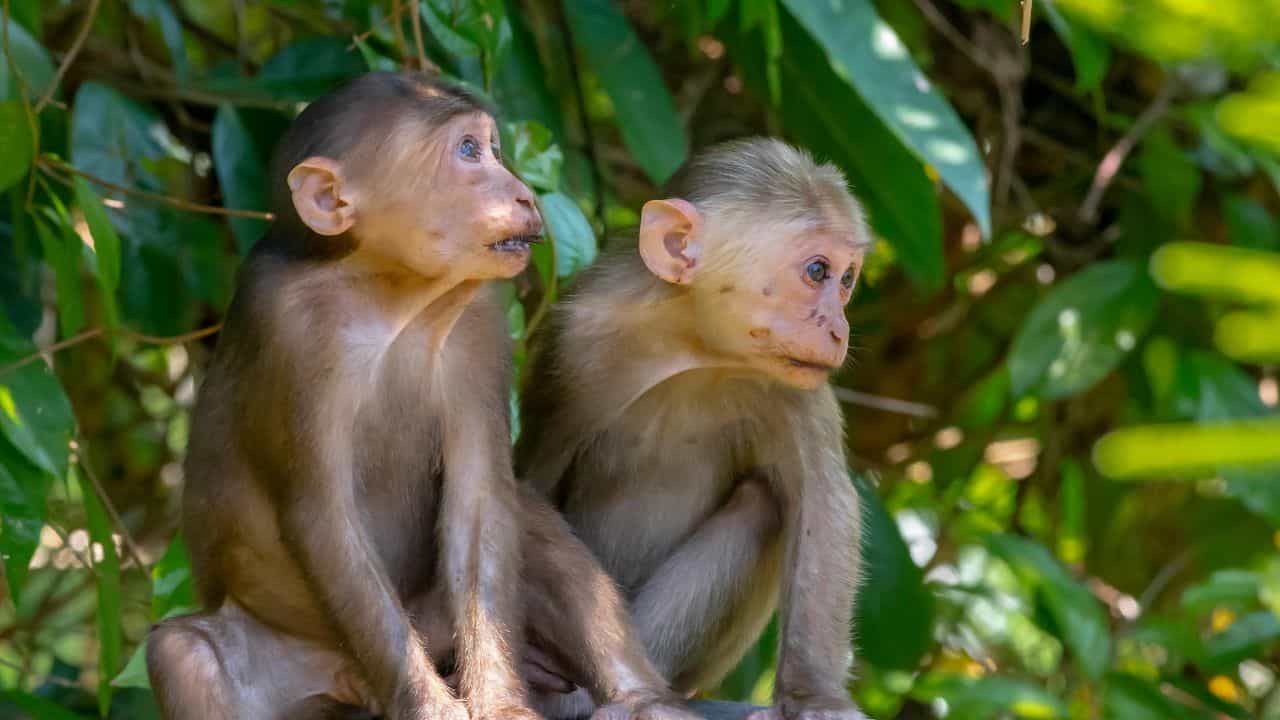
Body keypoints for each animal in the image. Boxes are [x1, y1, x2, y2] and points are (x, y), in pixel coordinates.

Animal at [145, 71, 696, 720]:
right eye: (469, 152)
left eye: (495, 149)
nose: (522, 194)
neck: (392, 297)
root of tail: (344, 684)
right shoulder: (286, 324)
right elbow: (322, 516)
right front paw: (430, 707)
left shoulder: (480, 322)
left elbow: (480, 500)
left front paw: (501, 704)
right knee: (185, 654)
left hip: (434, 631)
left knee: (527, 521)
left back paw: (641, 698)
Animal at [517, 138, 872, 720]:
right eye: (818, 271)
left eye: (847, 280)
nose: (839, 328)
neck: (693, 348)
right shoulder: (574, 343)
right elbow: (528, 483)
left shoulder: (796, 388)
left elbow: (822, 503)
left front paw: (814, 695)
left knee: (762, 504)